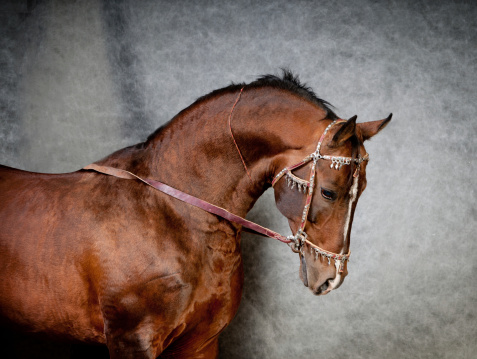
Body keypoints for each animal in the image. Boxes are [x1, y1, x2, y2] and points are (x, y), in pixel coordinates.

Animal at [0, 71, 390, 358]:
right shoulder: (132, 342)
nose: (331, 278)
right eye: (329, 191)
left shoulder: (201, 342)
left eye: (362, 191)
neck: (173, 214)